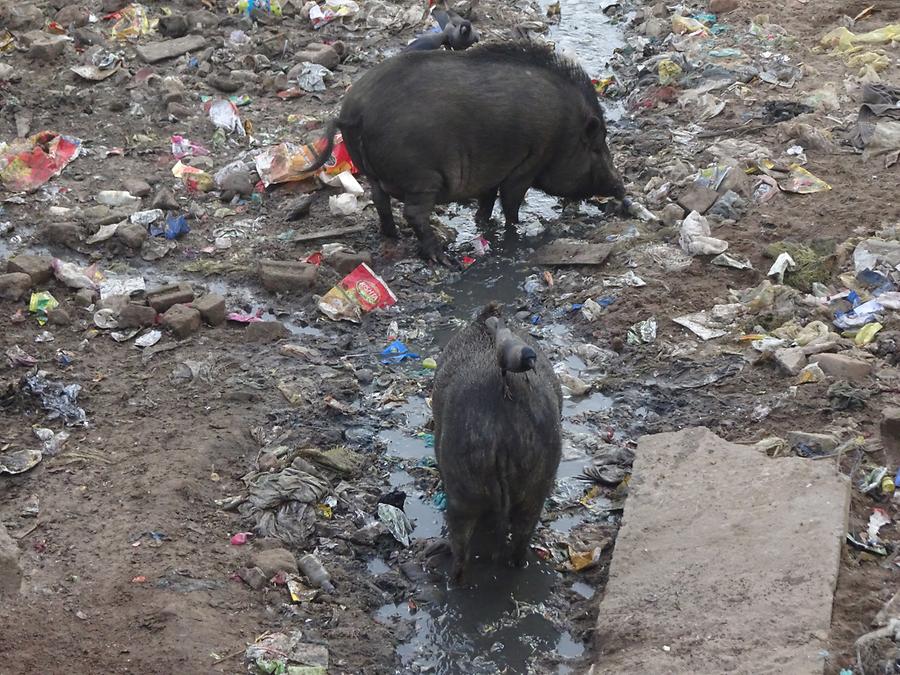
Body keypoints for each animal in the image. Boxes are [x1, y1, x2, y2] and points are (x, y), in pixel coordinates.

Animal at [308, 41, 624, 266]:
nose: (621, 188)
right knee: (413, 212)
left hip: (375, 172)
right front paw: (517, 229)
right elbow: (510, 202)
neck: (564, 132)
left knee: (380, 201)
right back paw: (444, 259)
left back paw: (393, 235)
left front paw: (486, 224)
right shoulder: (528, 163)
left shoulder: (492, 171)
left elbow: (486, 201)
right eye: (596, 146)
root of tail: (353, 112)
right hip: (421, 176)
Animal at [428, 304, 564, 584]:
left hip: (462, 483)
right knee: (522, 537)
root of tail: (502, 428)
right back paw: (517, 564)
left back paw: (447, 575)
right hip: (538, 479)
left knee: (461, 549)